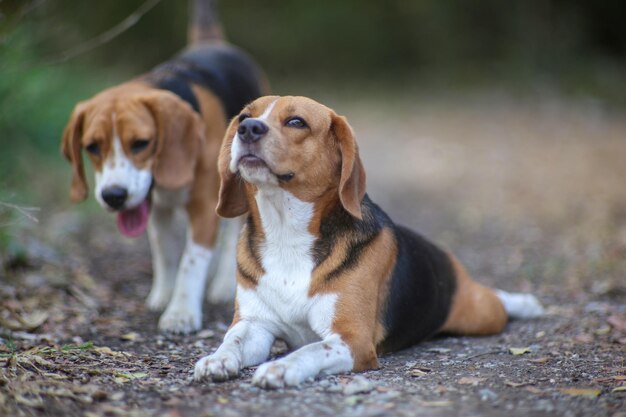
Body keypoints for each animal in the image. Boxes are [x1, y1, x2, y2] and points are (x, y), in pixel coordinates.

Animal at [58, 44, 264, 334]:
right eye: (92, 147)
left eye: (141, 143)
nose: (114, 196)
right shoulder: (157, 211)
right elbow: (165, 252)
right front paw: (164, 294)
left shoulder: (204, 207)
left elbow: (190, 262)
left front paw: (181, 312)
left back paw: (223, 284)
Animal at [193, 95, 544, 386]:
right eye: (243, 117)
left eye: (296, 122)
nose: (248, 129)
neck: (286, 234)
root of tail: (445, 257)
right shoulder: (255, 323)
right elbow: (233, 340)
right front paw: (216, 360)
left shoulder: (352, 340)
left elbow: (309, 351)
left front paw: (281, 367)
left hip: (481, 315)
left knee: (497, 300)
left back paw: (525, 303)